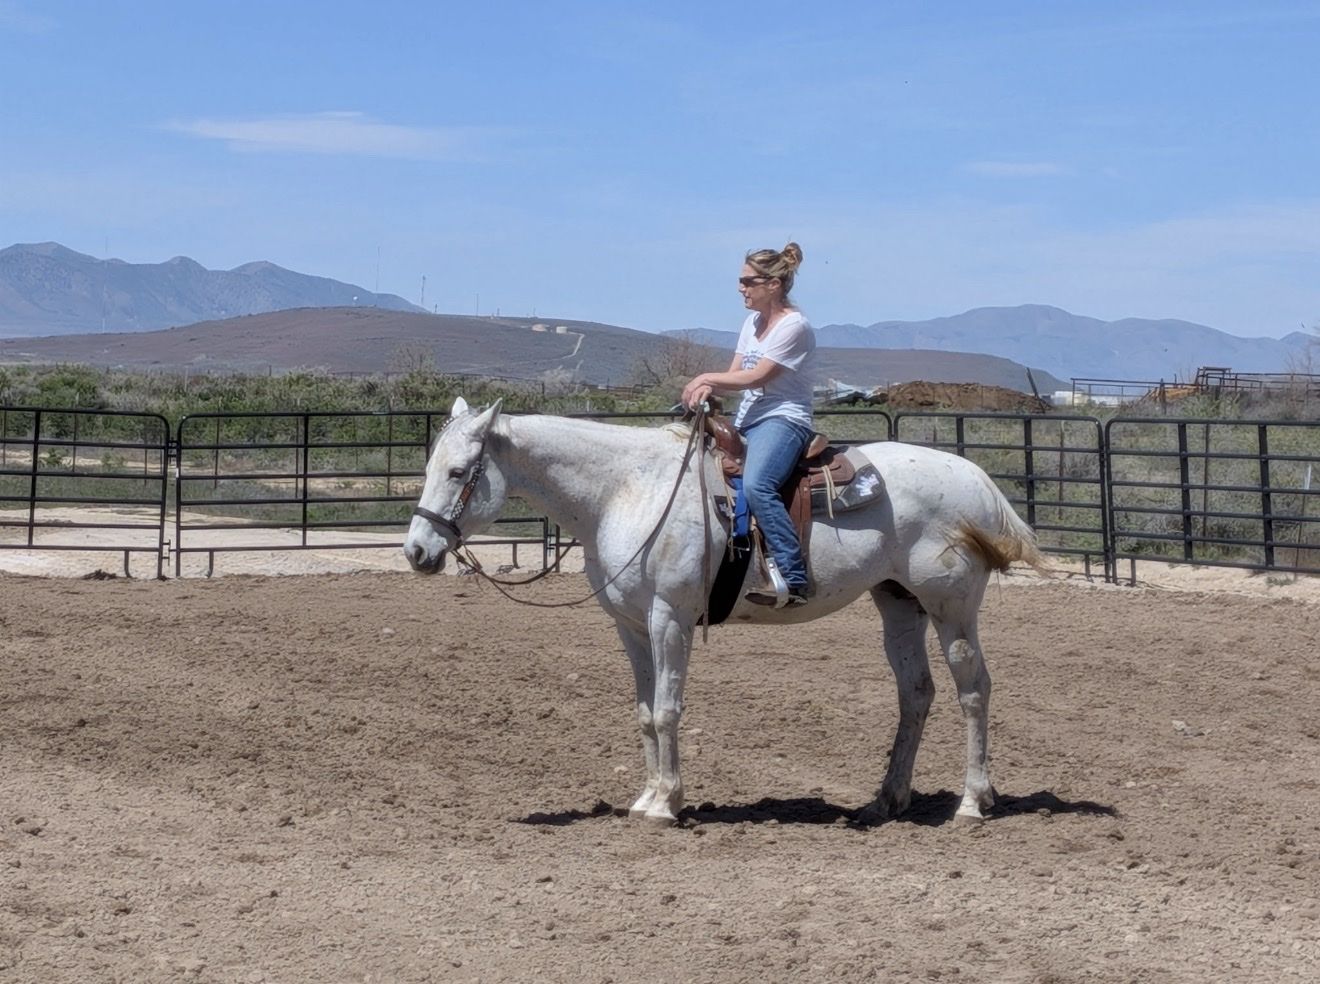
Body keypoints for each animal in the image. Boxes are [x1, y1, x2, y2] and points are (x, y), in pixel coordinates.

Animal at [404, 397, 1045, 826]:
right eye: (431, 467)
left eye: (459, 472)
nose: (417, 552)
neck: (624, 491)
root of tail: (974, 477)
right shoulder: (630, 625)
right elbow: (645, 713)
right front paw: (648, 795)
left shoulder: (669, 619)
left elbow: (668, 709)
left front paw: (666, 804)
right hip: (898, 604)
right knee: (916, 692)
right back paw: (886, 800)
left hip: (951, 606)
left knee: (973, 689)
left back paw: (972, 802)